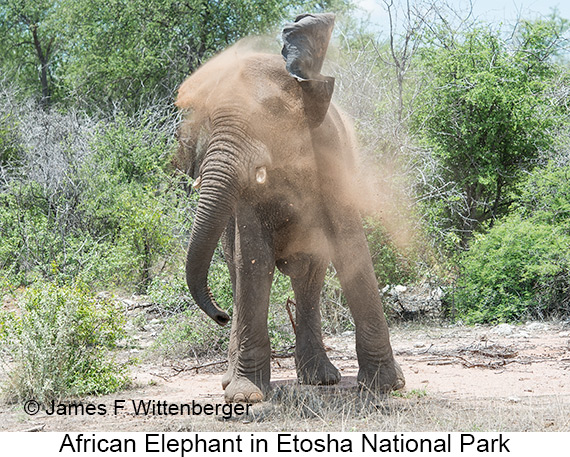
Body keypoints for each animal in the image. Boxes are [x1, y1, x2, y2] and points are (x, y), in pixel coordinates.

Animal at [174, 12, 404, 400]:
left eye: (270, 112)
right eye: (209, 119)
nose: (219, 316)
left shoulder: (332, 157)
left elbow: (351, 249)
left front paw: (386, 386)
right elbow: (254, 260)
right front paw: (245, 395)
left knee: (309, 274)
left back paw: (321, 378)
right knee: (241, 272)